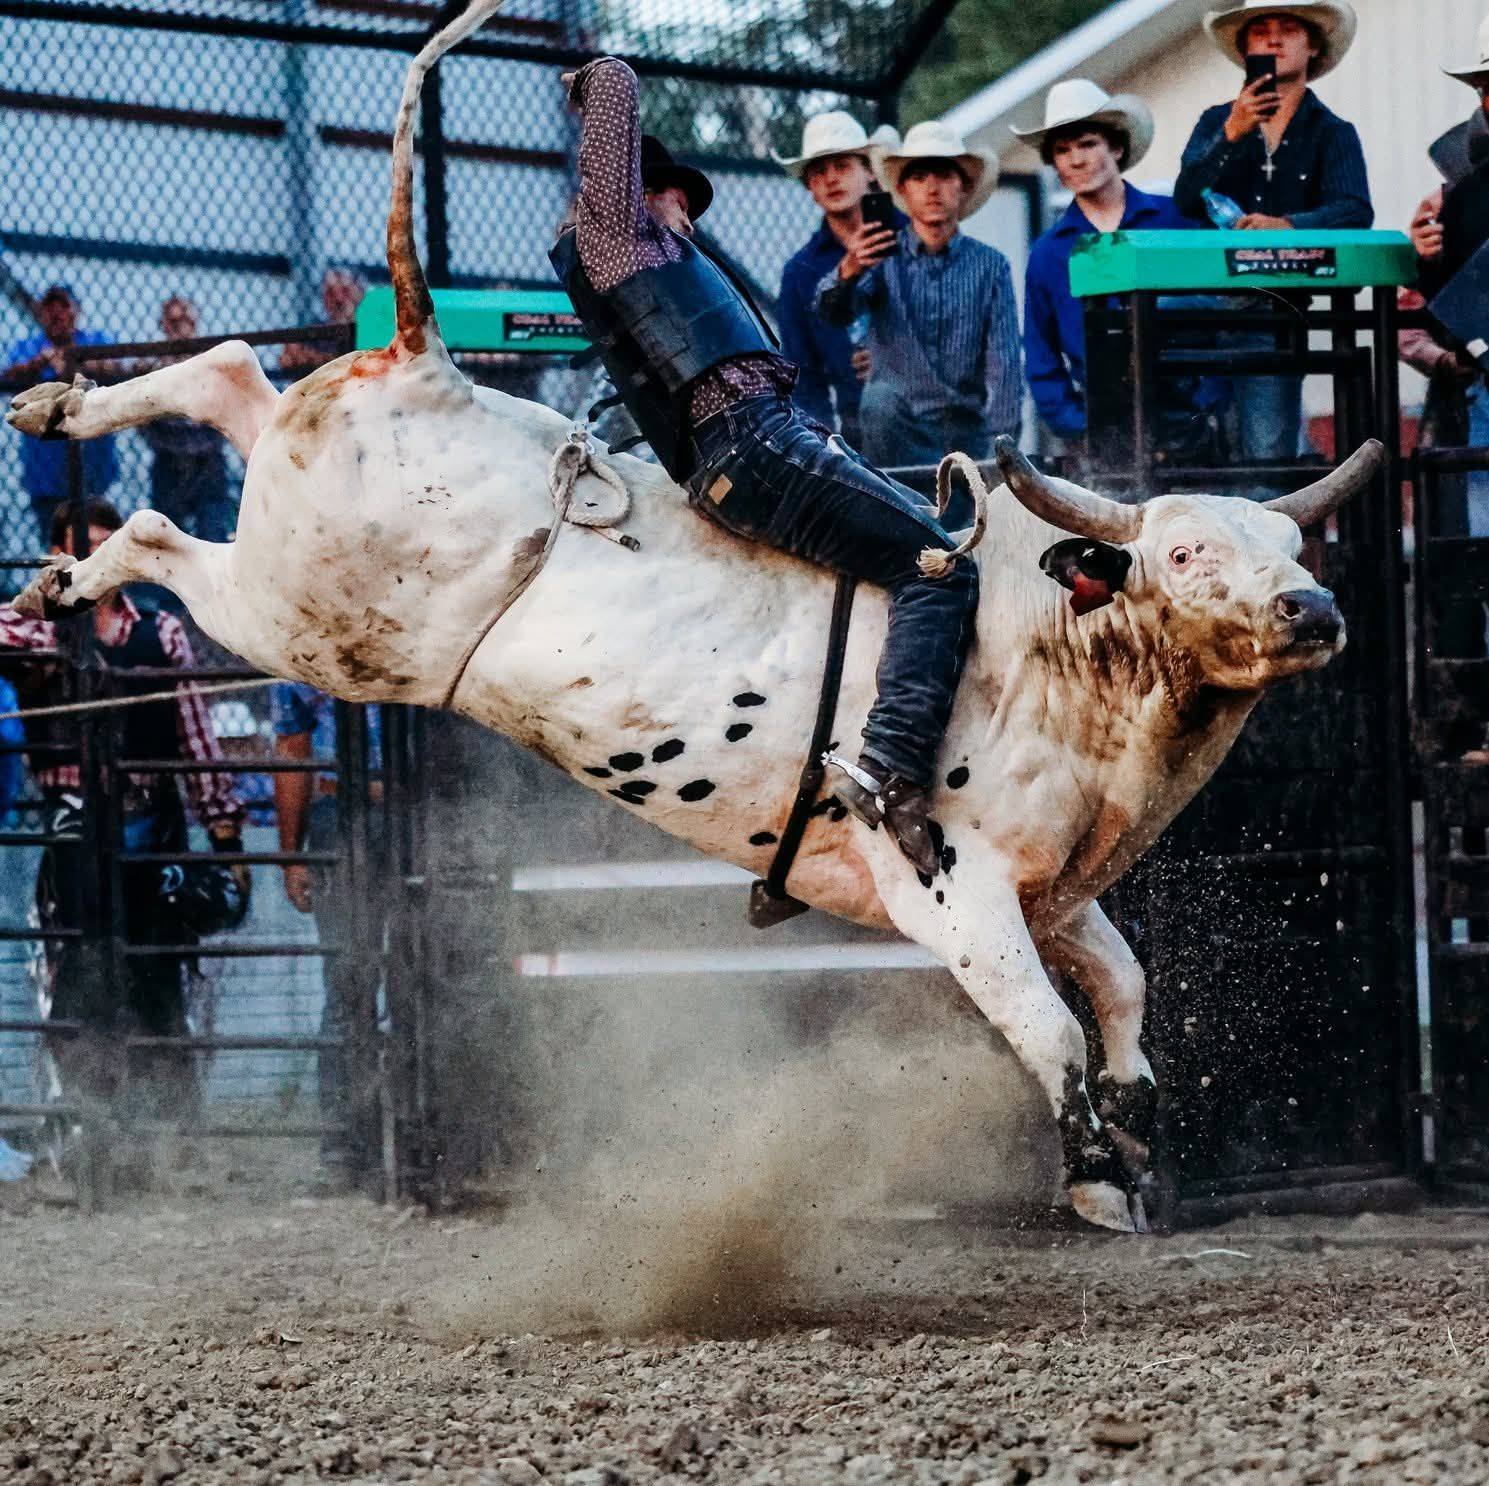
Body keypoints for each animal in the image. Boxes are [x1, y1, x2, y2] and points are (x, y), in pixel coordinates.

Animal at [4, 0, 1381, 1232]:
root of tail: (426, 357)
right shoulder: (958, 888)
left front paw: (1136, 1126)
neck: (1052, 652)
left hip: (300, 513)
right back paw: (59, 575)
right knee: (161, 529)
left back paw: (59, 414)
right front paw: (1096, 1174)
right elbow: (1047, 1023)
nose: (1313, 608)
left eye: (1291, 543)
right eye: (1187, 549)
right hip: (299, 617)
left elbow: (1125, 987)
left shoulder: (1056, 891)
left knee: (234, 369)